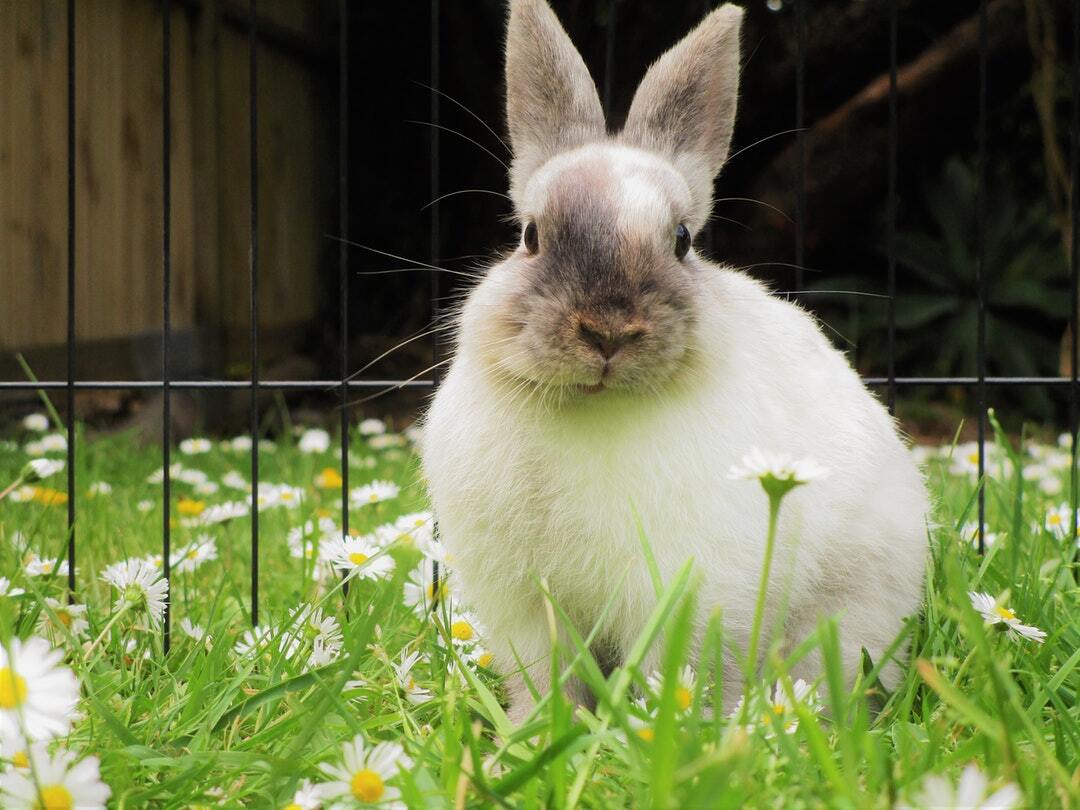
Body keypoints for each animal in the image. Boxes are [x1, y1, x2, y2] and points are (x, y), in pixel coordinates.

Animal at [419, 0, 928, 721]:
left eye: (683, 240)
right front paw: (533, 730)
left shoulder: (690, 590)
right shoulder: (525, 605)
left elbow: (680, 669)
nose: (607, 331)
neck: (595, 409)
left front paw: (670, 727)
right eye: (530, 236)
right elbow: (548, 677)